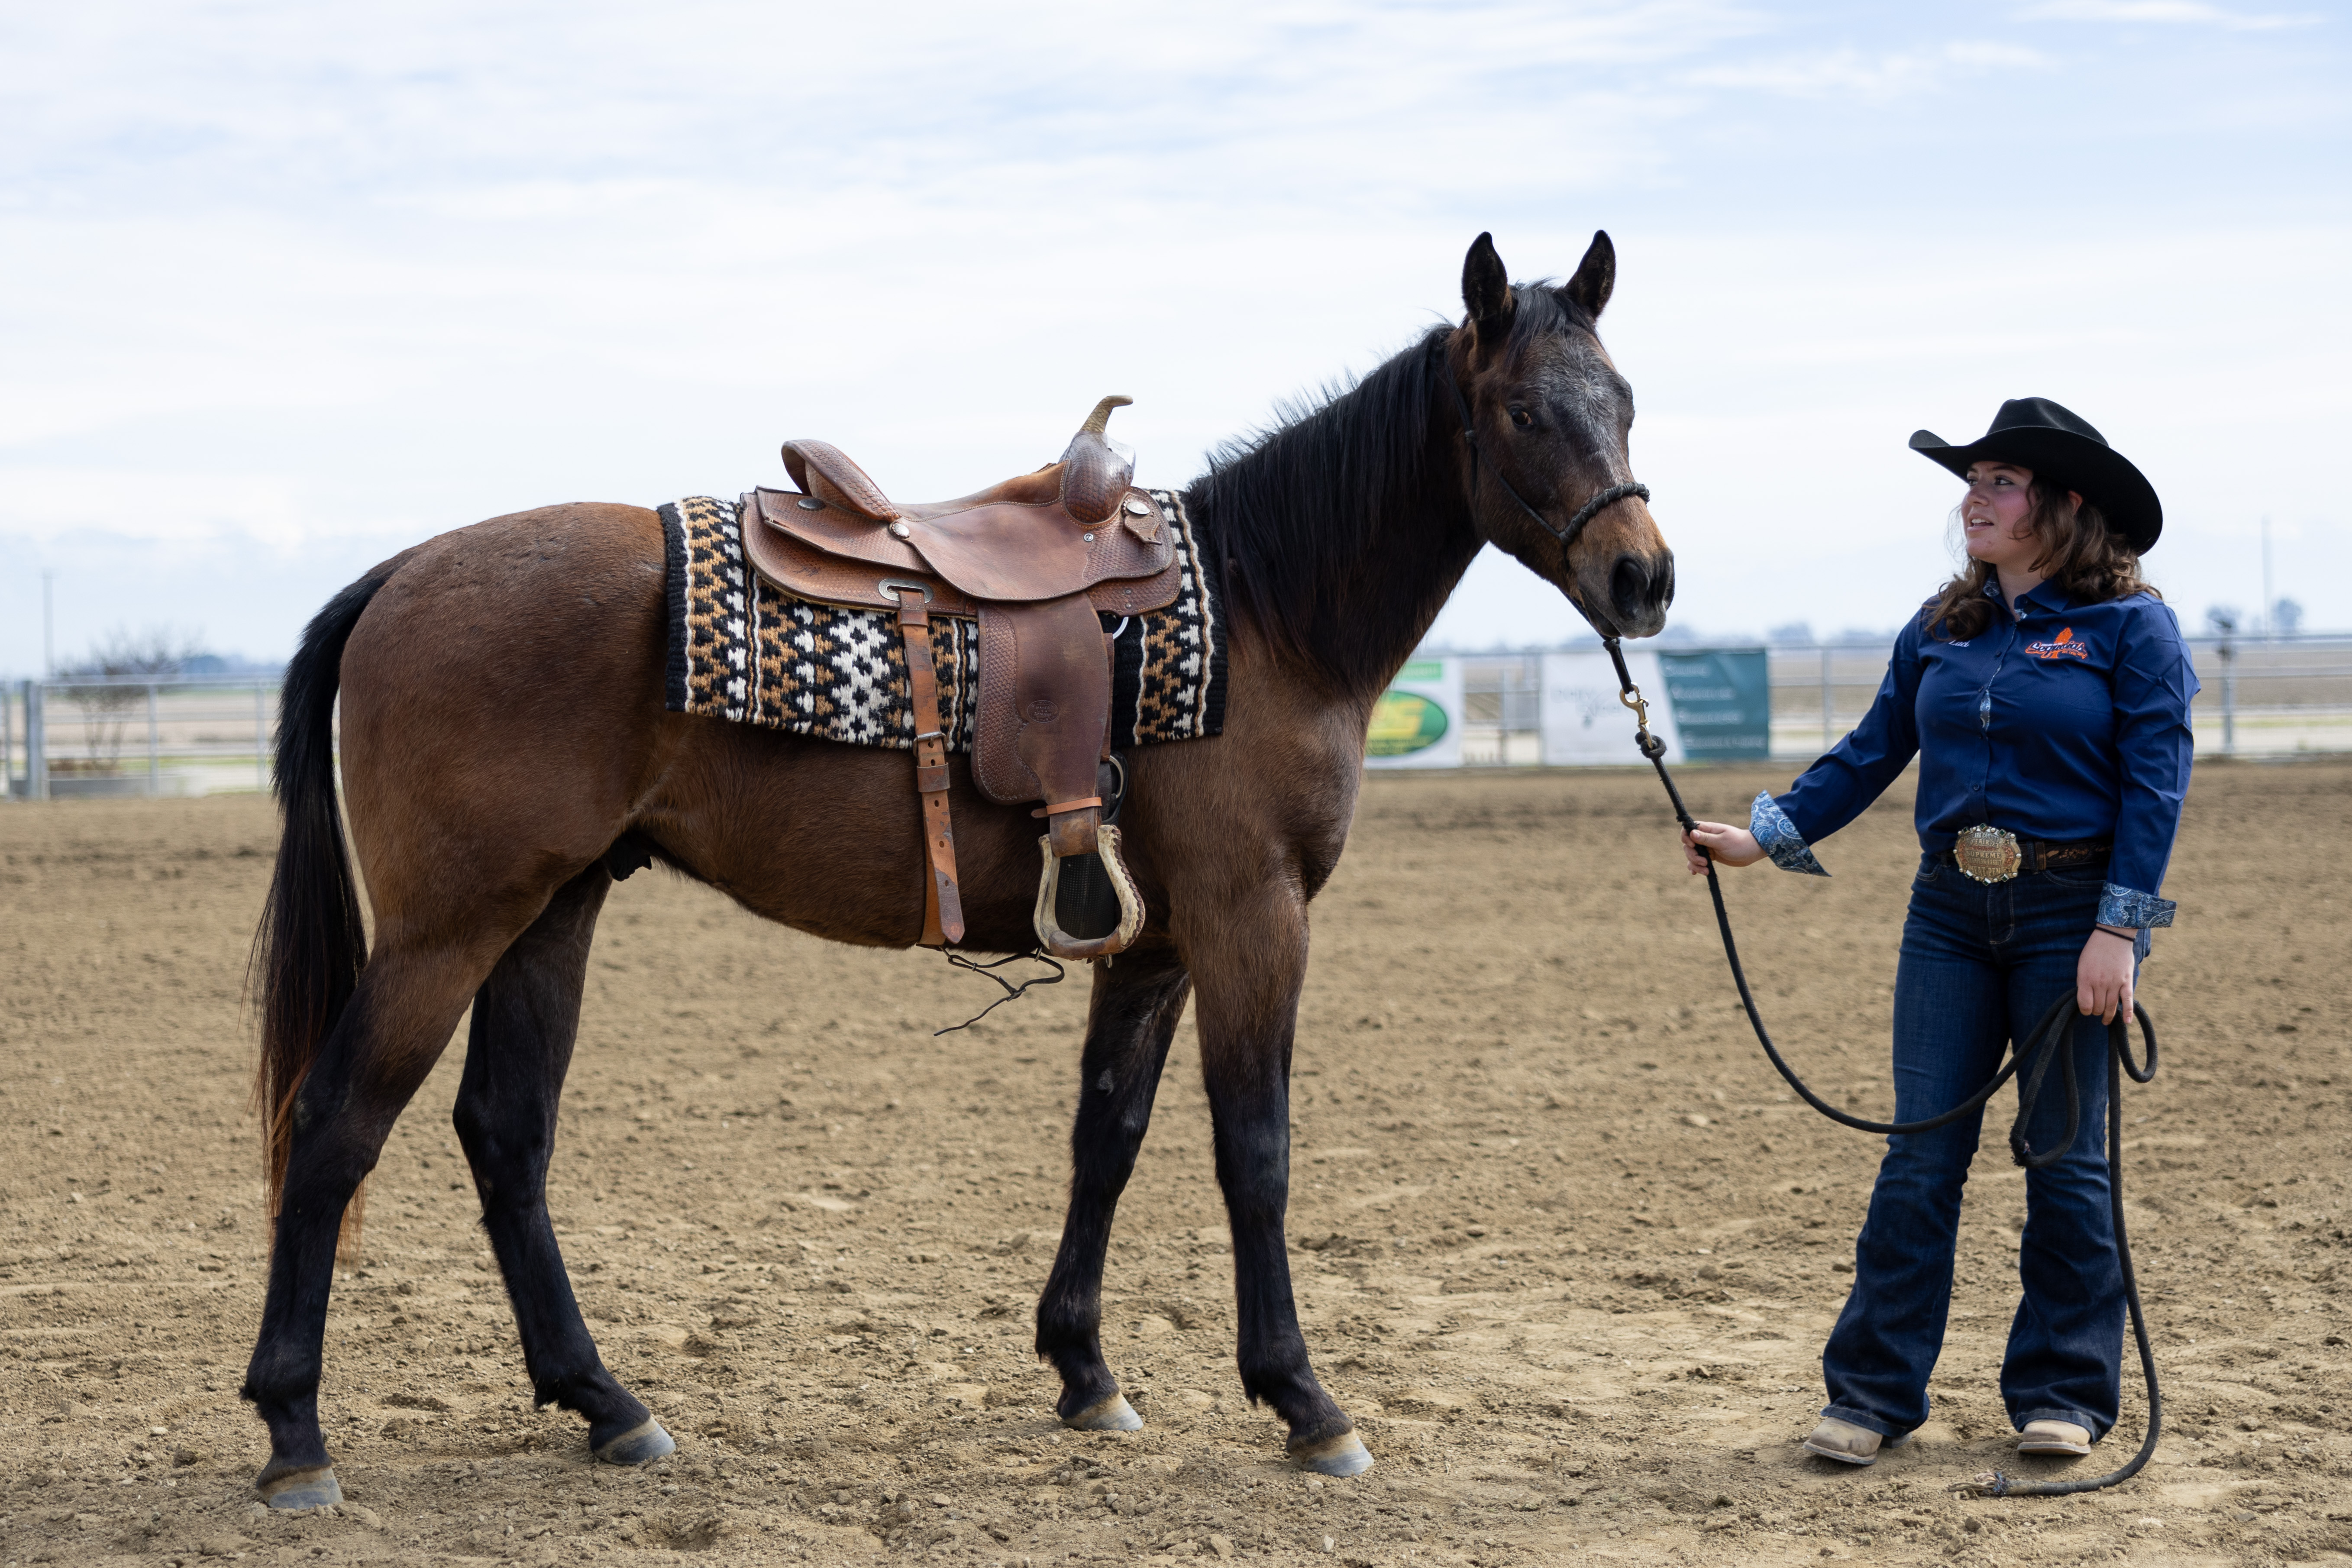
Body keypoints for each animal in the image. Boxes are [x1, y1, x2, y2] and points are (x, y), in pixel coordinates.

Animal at [239, 229, 1675, 1508]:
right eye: (1526, 413)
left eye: (1622, 402)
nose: (1643, 577)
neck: (1269, 615)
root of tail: (402, 572)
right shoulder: (1251, 919)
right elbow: (1254, 1150)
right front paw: (1303, 1400)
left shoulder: (1155, 943)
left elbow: (1109, 1133)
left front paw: (1085, 1370)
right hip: (449, 927)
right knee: (336, 1123)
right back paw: (296, 1430)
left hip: (551, 908)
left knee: (504, 1131)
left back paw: (606, 1403)